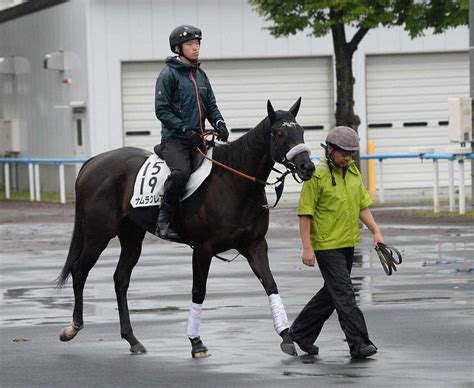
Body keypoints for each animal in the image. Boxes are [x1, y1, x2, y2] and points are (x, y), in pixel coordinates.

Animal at [56, 99, 314, 358]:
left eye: (301, 131)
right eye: (279, 133)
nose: (307, 166)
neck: (234, 182)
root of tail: (93, 162)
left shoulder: (255, 244)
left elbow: (271, 284)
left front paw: (287, 337)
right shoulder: (203, 249)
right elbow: (198, 291)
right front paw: (196, 342)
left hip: (131, 237)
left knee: (120, 279)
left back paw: (132, 339)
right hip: (97, 236)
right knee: (79, 271)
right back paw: (73, 327)